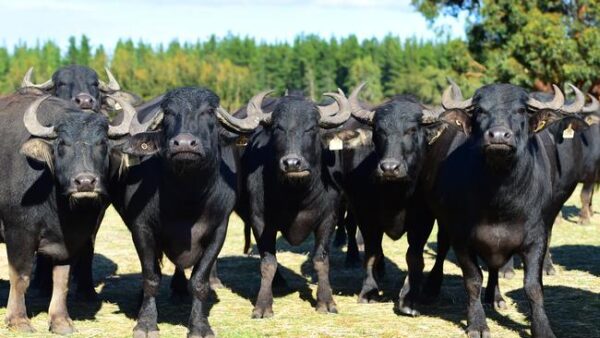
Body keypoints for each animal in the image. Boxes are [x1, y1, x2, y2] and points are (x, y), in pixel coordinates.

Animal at [0, 92, 134, 332]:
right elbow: (21, 276)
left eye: (102, 143)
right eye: (62, 143)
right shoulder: (19, 232)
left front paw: (61, 321)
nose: (85, 182)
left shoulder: (71, 239)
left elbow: (62, 280)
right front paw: (18, 320)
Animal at [109, 87, 254, 338]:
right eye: (168, 113)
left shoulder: (219, 230)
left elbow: (199, 281)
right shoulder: (141, 228)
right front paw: (146, 323)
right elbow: (151, 277)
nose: (184, 143)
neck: (187, 199)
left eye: (208, 112)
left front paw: (199, 326)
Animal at [237, 89, 352, 316]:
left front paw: (326, 302)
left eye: (311, 128)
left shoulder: (329, 218)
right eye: (278, 128)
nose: (292, 163)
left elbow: (321, 260)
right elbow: (268, 262)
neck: (297, 196)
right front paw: (263, 305)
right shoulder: (259, 221)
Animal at [398, 82, 584, 338]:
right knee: (444, 248)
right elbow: (473, 279)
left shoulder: (536, 238)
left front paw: (542, 327)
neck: (500, 201)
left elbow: (533, 287)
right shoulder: (462, 238)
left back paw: (495, 296)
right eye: (480, 111)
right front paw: (477, 323)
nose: (498, 136)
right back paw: (432, 287)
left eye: (520, 110)